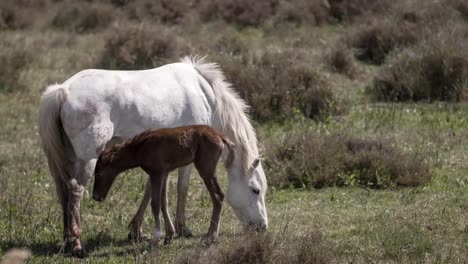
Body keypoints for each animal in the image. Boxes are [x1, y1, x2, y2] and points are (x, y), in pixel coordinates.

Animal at [92, 125, 234, 244]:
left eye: (98, 173)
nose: (95, 196)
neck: (142, 148)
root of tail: (220, 136)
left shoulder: (156, 173)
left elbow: (155, 204)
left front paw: (156, 237)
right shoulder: (165, 173)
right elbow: (163, 202)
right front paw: (169, 235)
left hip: (205, 168)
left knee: (218, 196)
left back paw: (210, 237)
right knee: (218, 196)